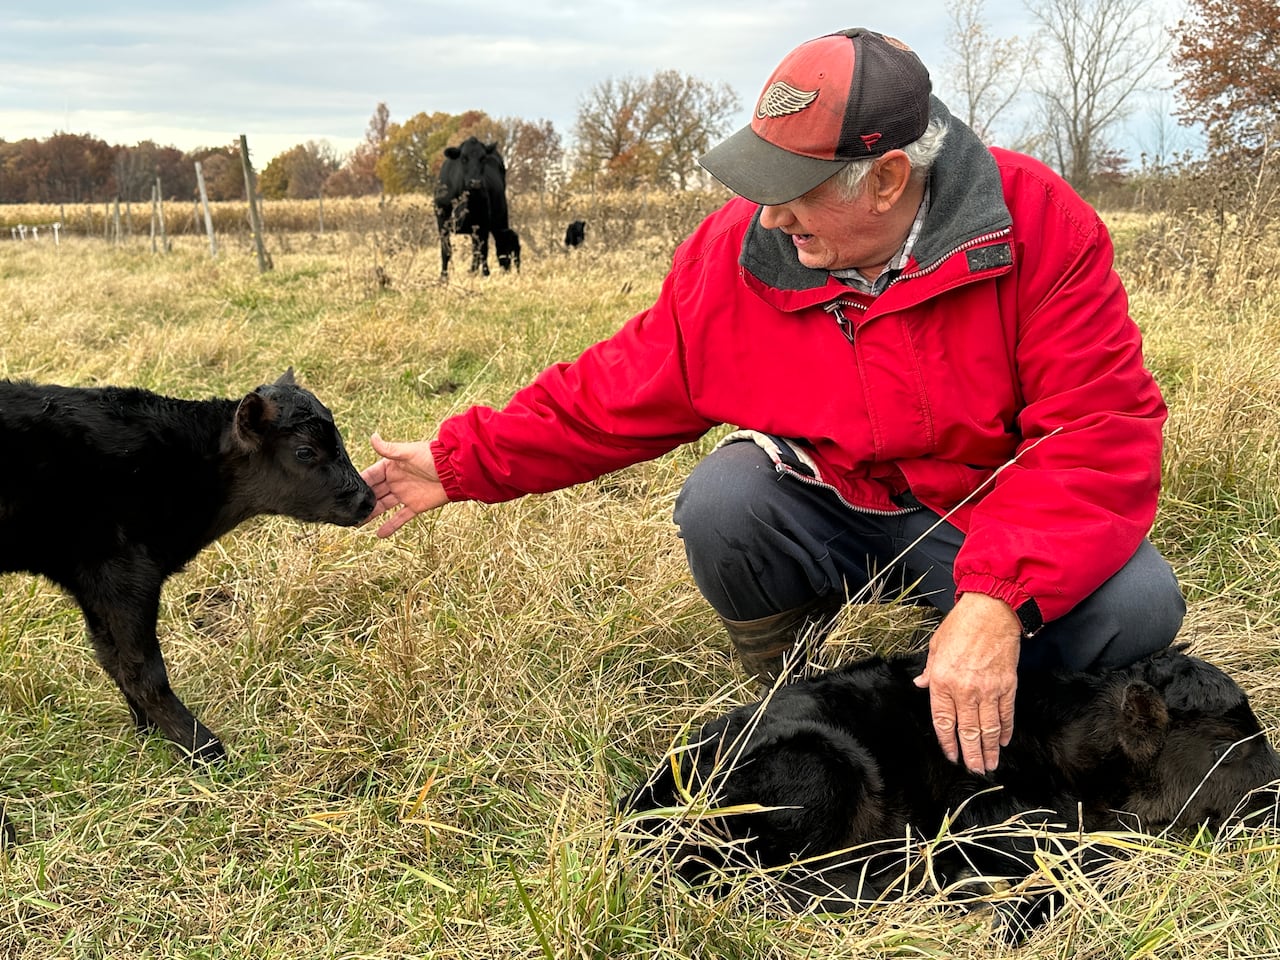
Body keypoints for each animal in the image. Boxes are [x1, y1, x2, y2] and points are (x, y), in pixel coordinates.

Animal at [0, 370, 375, 844]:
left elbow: (113, 658)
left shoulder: (90, 583)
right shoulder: (122, 571)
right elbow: (144, 673)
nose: (367, 500)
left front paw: (150, 735)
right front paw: (204, 751)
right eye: (305, 452)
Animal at [434, 136, 515, 279]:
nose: (475, 182)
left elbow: (482, 251)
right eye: (463, 158)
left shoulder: (482, 223)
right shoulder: (442, 220)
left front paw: (485, 275)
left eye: (483, 158)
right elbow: (446, 250)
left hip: (500, 219)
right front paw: (443, 277)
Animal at [625, 647, 1280, 941]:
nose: (1278, 790)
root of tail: (640, 810)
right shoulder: (987, 808)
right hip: (815, 770)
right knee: (782, 883)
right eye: (1234, 745)